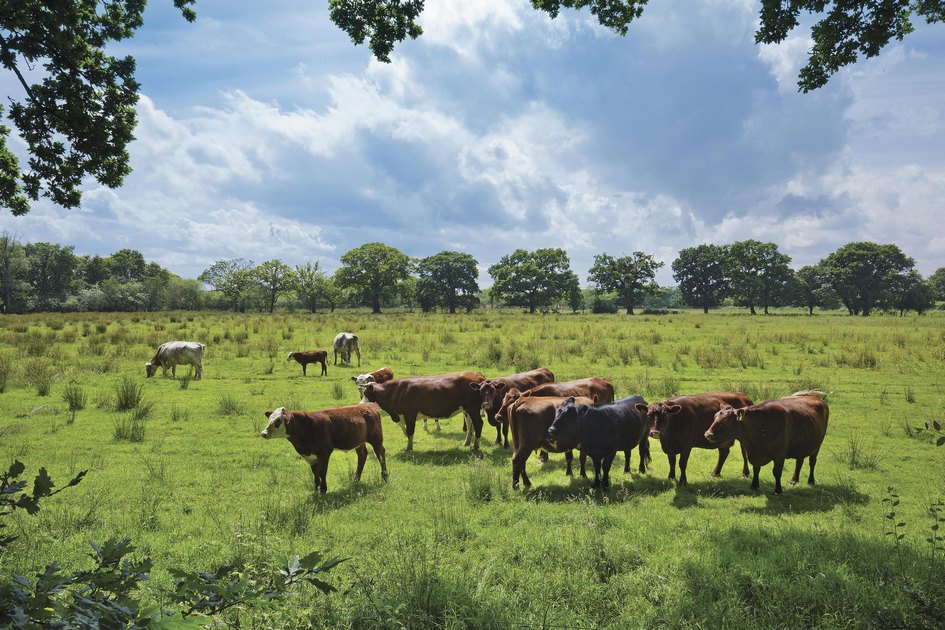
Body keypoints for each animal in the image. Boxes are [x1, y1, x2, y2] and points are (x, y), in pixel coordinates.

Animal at [258, 408, 388, 496]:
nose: (263, 433)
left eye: (278, 421)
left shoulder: (324, 453)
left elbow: (322, 472)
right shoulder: (310, 456)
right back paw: (356, 479)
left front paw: (323, 490)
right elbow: (315, 473)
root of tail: (369, 406)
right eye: (269, 419)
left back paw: (385, 477)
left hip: (376, 439)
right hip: (359, 442)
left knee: (380, 454)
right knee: (362, 455)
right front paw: (316, 489)